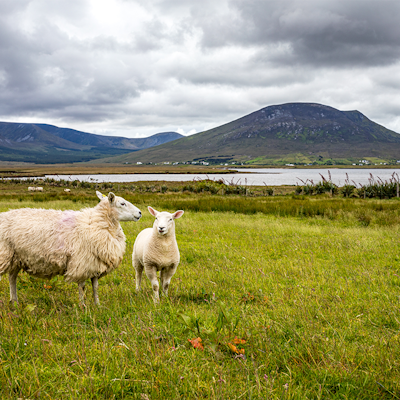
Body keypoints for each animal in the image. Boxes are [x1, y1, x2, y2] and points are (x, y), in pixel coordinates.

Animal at [0, 192, 142, 304]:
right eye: (122, 203)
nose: (140, 213)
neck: (98, 223)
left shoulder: (95, 263)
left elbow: (95, 286)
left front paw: (98, 305)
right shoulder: (82, 263)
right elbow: (82, 286)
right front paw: (83, 307)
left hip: (15, 257)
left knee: (12, 278)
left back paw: (14, 302)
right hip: (5, 254)